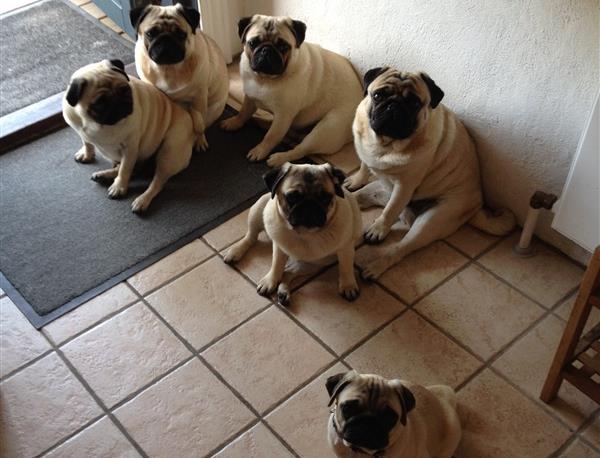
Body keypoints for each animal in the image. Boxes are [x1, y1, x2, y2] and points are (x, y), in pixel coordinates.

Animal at [62, 59, 194, 213]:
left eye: (125, 90)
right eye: (100, 103)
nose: (120, 102)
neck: (95, 123)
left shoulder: (130, 148)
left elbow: (125, 169)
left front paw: (119, 187)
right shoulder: (81, 131)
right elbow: (87, 143)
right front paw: (87, 154)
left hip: (168, 154)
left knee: (156, 182)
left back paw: (142, 200)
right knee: (131, 170)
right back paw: (104, 175)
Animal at [130, 3, 228, 151]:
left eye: (181, 34)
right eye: (150, 33)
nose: (166, 39)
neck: (167, 69)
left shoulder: (199, 98)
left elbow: (199, 123)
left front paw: (200, 140)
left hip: (213, 109)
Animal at [220, 14, 363, 167]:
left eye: (283, 46)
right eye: (253, 43)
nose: (266, 50)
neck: (265, 80)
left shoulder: (283, 115)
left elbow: (272, 136)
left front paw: (260, 150)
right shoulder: (250, 97)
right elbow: (243, 113)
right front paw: (234, 122)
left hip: (325, 130)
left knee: (299, 150)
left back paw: (280, 158)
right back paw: (260, 121)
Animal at [223, 162, 362, 305]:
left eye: (325, 198)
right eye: (292, 197)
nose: (309, 205)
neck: (305, 233)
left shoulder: (345, 249)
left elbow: (346, 267)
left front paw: (348, 285)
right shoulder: (279, 248)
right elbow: (276, 265)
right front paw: (270, 281)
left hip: (314, 264)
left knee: (288, 272)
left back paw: (283, 292)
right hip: (258, 209)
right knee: (251, 236)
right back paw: (236, 251)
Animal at [346, 67, 515, 280]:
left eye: (414, 102)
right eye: (378, 95)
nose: (393, 106)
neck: (386, 145)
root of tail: (476, 209)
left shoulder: (404, 187)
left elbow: (389, 212)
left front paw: (378, 229)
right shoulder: (367, 155)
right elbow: (363, 165)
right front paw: (356, 179)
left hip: (430, 222)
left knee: (401, 243)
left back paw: (376, 266)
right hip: (377, 190)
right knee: (361, 200)